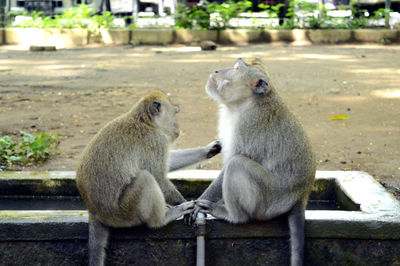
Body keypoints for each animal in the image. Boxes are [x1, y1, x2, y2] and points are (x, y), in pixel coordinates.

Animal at [76, 91, 220, 266]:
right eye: (175, 113)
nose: (178, 127)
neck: (146, 122)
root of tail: (93, 211)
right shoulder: (155, 141)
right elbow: (158, 176)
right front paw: (186, 205)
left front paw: (209, 149)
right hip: (123, 213)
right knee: (145, 178)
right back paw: (163, 218)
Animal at [187, 58, 316, 266]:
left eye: (236, 69)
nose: (217, 70)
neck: (245, 104)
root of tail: (301, 197)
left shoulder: (248, 124)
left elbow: (232, 161)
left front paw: (198, 203)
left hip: (269, 201)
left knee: (237, 164)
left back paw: (233, 216)